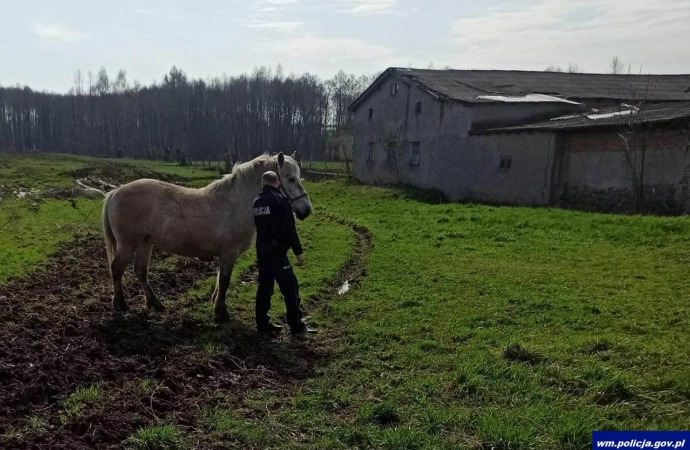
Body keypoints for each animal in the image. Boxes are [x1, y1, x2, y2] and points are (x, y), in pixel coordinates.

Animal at [101, 153, 310, 322]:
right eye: (291, 179)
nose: (306, 210)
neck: (235, 203)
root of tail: (115, 191)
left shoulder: (226, 255)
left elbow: (219, 280)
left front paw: (216, 305)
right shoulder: (228, 254)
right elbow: (224, 281)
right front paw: (220, 312)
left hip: (145, 242)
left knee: (140, 271)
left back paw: (156, 304)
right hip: (128, 244)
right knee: (117, 268)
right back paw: (121, 304)